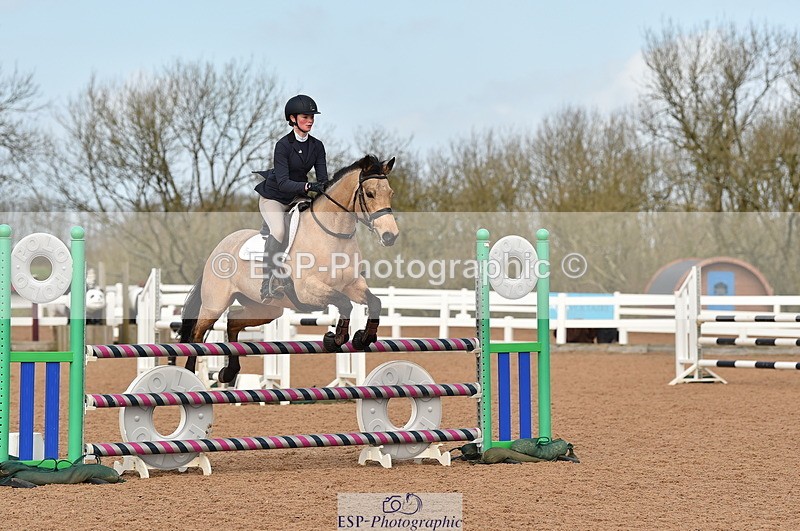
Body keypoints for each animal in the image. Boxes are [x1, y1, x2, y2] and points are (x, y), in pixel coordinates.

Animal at [178, 154, 400, 383]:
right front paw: (335, 339)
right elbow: (344, 303)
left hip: (265, 309)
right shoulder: (308, 289)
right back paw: (190, 374)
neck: (334, 235)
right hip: (214, 305)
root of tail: (219, 247)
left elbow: (375, 302)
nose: (390, 236)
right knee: (197, 334)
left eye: (390, 193)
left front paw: (364, 338)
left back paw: (230, 372)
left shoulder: (352, 284)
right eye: (370, 193)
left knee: (232, 321)